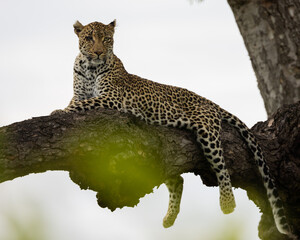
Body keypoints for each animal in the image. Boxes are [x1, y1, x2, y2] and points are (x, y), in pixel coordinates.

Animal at [52, 19, 296, 237]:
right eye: (89, 38)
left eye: (106, 39)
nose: (98, 52)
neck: (89, 68)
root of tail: (210, 102)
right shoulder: (80, 94)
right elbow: (76, 102)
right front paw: (61, 110)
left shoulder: (111, 98)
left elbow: (80, 105)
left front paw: (57, 112)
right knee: (177, 179)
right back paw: (169, 219)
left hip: (207, 132)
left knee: (221, 167)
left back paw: (227, 202)